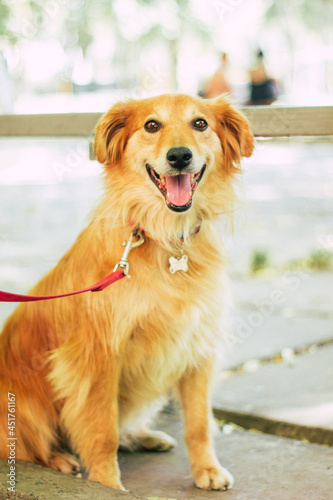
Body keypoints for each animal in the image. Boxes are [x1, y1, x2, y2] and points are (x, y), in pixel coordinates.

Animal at [0, 93, 252, 488]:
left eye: (200, 123)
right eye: (151, 125)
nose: (179, 156)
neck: (165, 237)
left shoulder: (197, 345)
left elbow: (198, 423)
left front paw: (207, 469)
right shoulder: (100, 354)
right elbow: (102, 428)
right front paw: (107, 484)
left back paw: (142, 436)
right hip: (22, 403)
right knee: (26, 446)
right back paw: (58, 460)